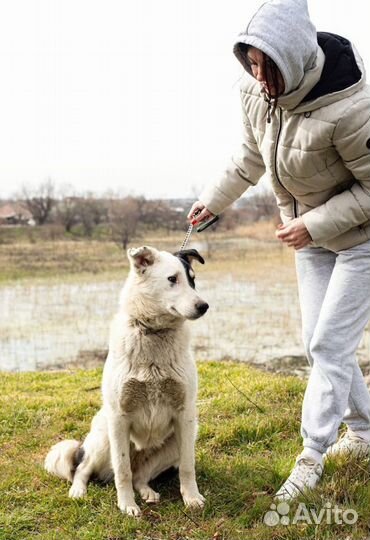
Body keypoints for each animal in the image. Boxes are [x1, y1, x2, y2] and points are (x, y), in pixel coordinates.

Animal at [44, 245, 208, 516]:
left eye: (193, 280)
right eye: (172, 279)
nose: (204, 306)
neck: (154, 334)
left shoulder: (185, 415)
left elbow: (187, 466)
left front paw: (191, 498)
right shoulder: (119, 417)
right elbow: (122, 471)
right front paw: (127, 505)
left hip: (178, 440)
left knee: (140, 475)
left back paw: (147, 491)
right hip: (104, 437)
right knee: (84, 468)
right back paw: (78, 490)